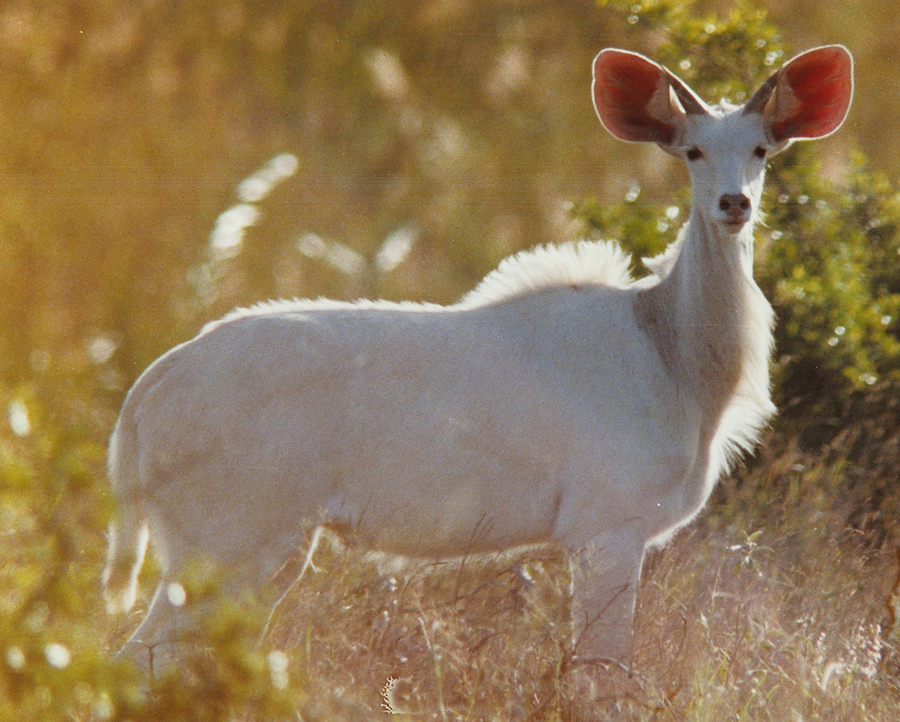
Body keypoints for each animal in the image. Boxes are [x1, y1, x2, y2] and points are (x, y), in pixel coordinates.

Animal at [103, 47, 852, 672]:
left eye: (762, 150)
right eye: (693, 150)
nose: (734, 203)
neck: (670, 352)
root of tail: (144, 398)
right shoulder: (606, 526)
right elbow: (602, 675)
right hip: (228, 543)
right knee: (140, 656)